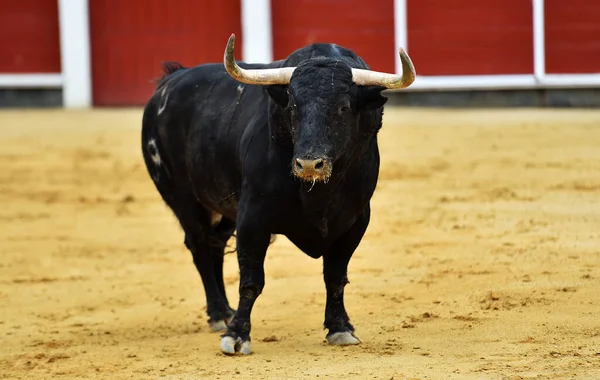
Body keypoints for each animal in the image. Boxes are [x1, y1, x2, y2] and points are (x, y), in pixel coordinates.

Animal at [141, 34, 414, 354]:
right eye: (293, 106)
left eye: (344, 107)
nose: (308, 164)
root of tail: (171, 80)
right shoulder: (252, 219)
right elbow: (251, 280)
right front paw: (237, 335)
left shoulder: (355, 221)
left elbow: (335, 276)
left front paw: (340, 328)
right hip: (182, 197)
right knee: (200, 246)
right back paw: (220, 314)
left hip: (223, 208)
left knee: (215, 245)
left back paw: (225, 311)